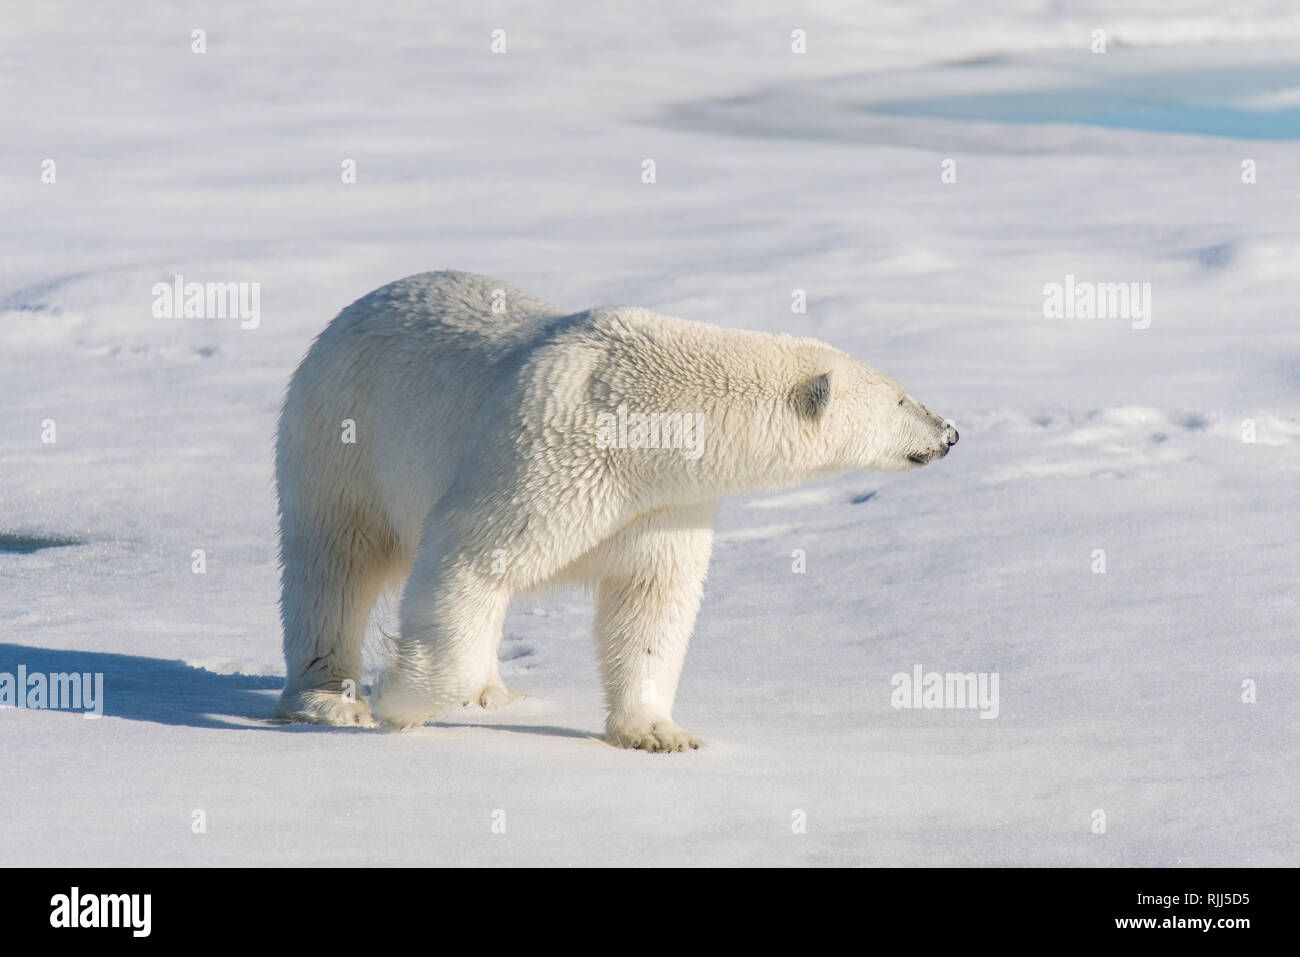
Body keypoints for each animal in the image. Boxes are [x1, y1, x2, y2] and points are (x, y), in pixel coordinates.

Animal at [274, 269, 961, 748]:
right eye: (901, 398)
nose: (950, 432)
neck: (651, 422)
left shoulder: (663, 503)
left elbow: (652, 600)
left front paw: (658, 733)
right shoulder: (550, 453)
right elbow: (470, 554)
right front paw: (399, 702)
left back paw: (498, 693)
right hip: (341, 435)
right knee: (334, 561)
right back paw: (329, 699)